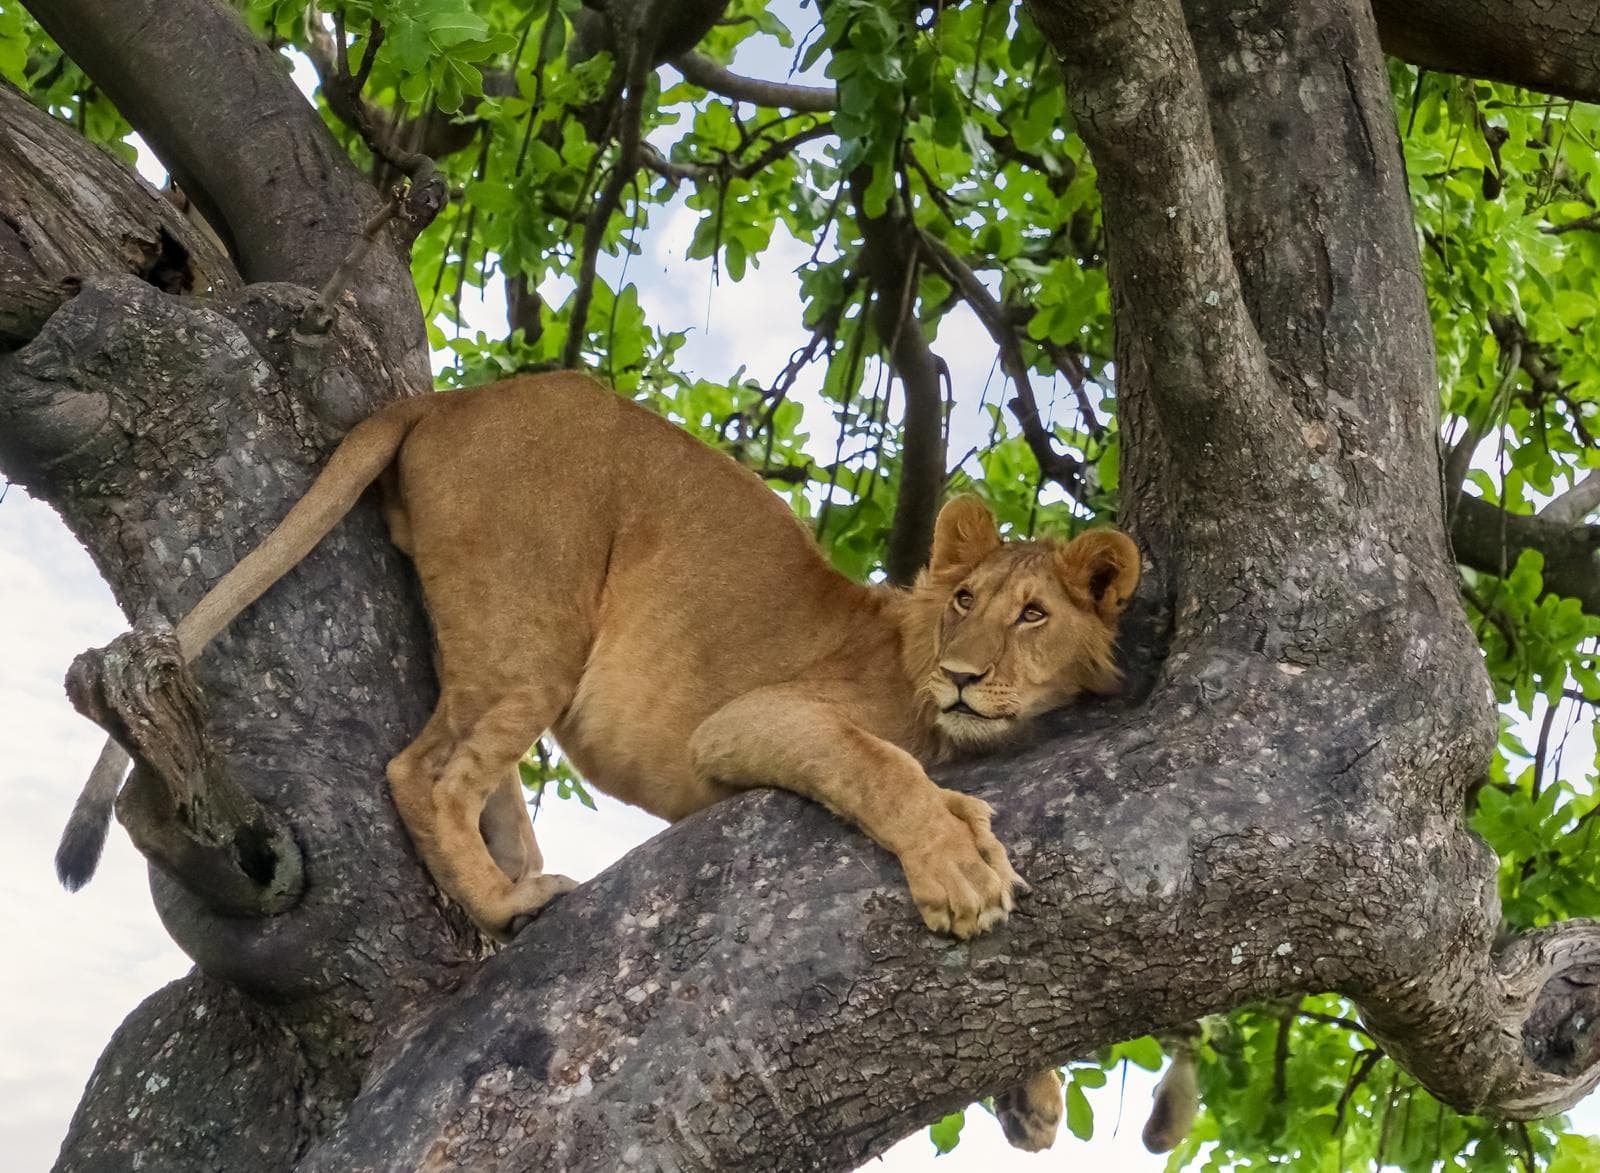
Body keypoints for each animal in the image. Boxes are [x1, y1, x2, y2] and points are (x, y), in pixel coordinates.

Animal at [57, 371, 1140, 1151]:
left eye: (1032, 614)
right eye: (965, 600)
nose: (961, 675)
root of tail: (455, 395)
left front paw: (1034, 1095)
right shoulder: (747, 724)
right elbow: (883, 767)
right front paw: (961, 871)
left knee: (477, 777)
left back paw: (515, 891)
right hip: (538, 623)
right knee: (425, 773)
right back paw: (507, 904)